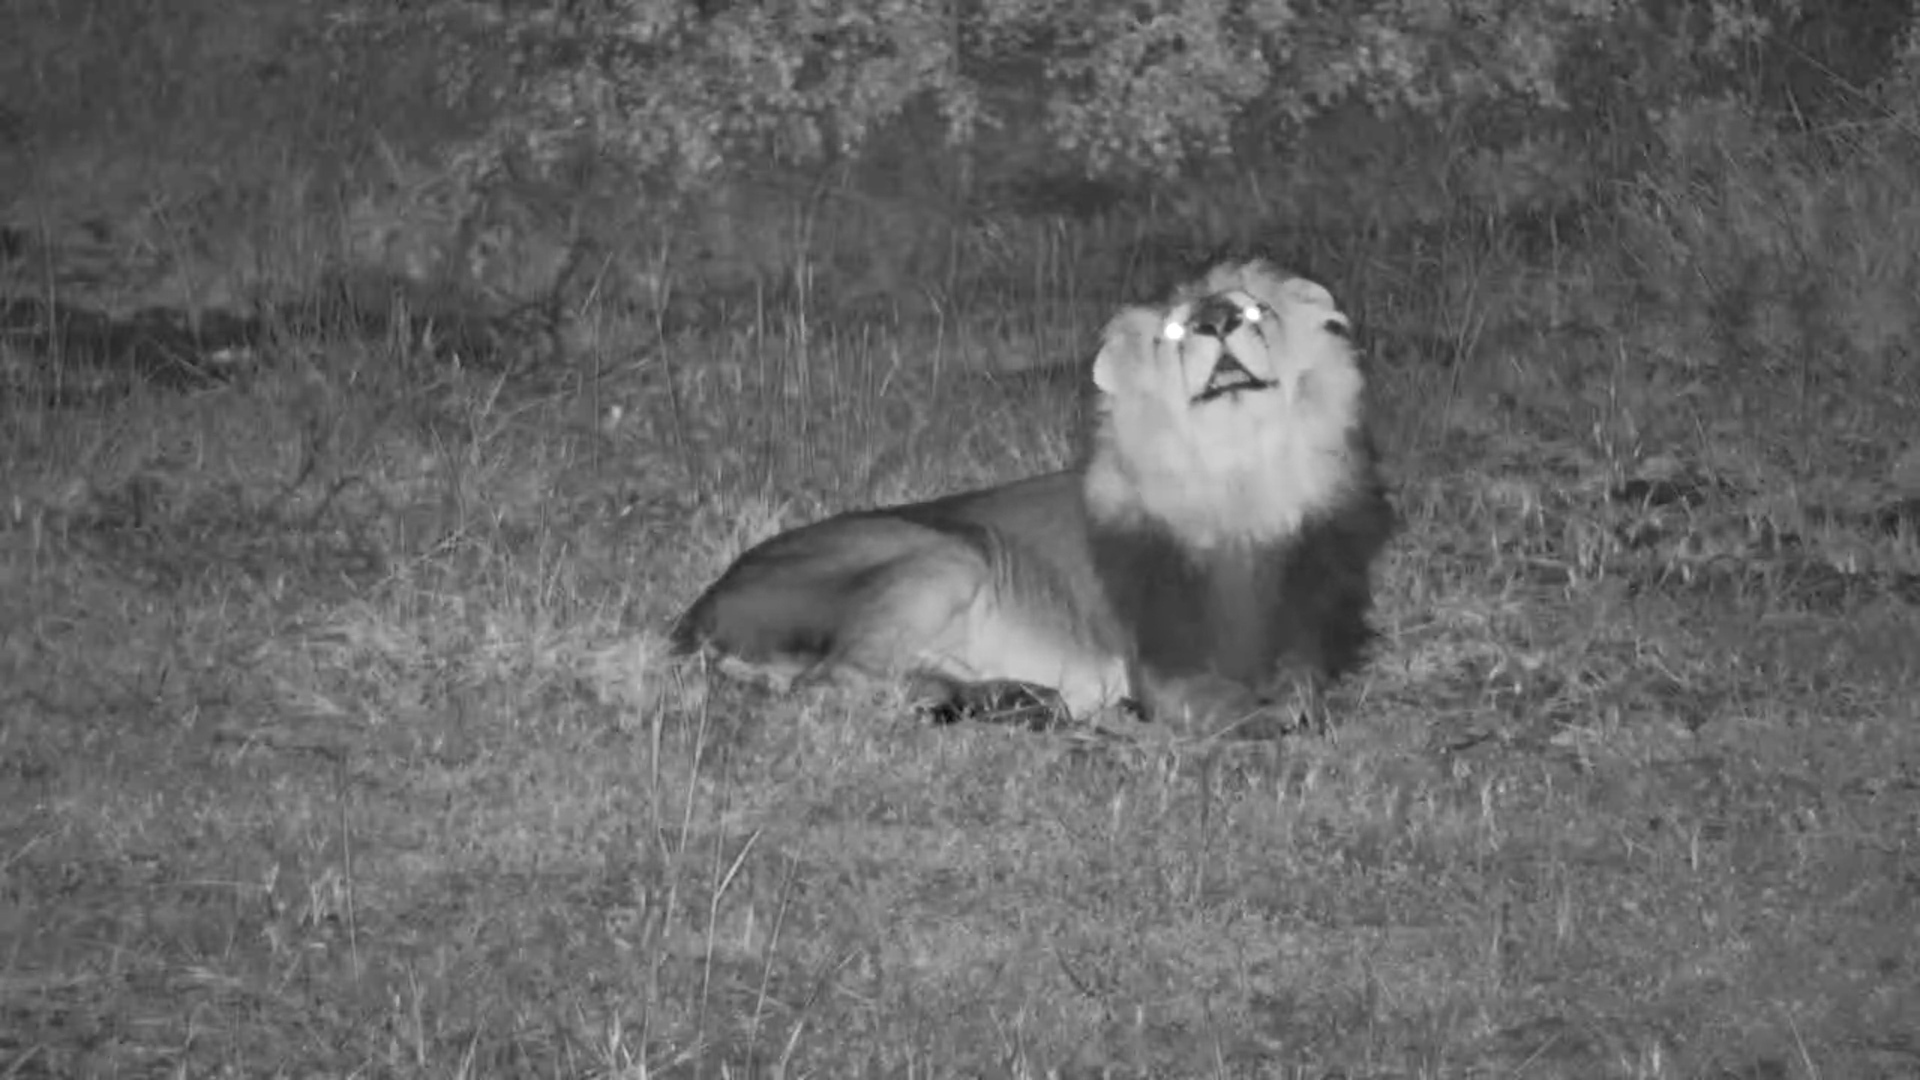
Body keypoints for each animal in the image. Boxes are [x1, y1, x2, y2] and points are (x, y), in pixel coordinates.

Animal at [669, 259, 1394, 734]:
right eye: (1174, 331)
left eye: (1257, 309)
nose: (1215, 318)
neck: (1244, 475)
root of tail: (696, 613)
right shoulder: (1165, 663)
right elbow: (1250, 712)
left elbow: (1303, 684)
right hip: (944, 556)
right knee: (825, 689)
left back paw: (1020, 702)